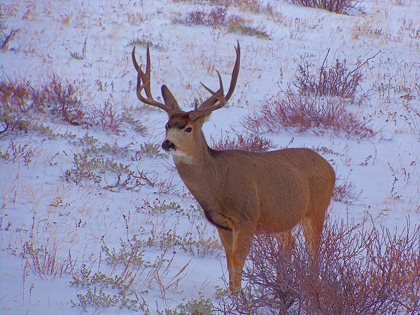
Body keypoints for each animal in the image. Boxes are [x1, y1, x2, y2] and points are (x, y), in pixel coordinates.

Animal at [131, 42, 334, 294]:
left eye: (188, 128)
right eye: (167, 125)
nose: (167, 143)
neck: (217, 183)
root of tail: (330, 168)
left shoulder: (246, 219)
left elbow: (238, 264)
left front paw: (239, 298)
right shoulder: (222, 224)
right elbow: (229, 265)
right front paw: (233, 296)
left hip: (316, 209)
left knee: (314, 252)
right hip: (281, 218)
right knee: (289, 244)